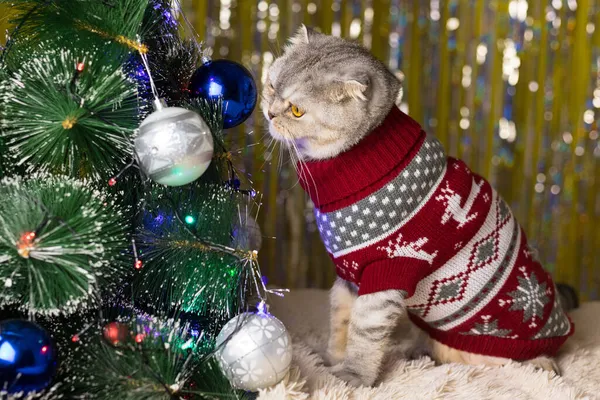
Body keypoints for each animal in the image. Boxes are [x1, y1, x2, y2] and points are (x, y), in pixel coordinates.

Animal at [262, 25, 572, 388]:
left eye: (296, 110)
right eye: (271, 85)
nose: (269, 113)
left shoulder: (386, 273)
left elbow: (364, 335)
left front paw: (354, 376)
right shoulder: (349, 274)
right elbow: (339, 321)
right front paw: (332, 360)